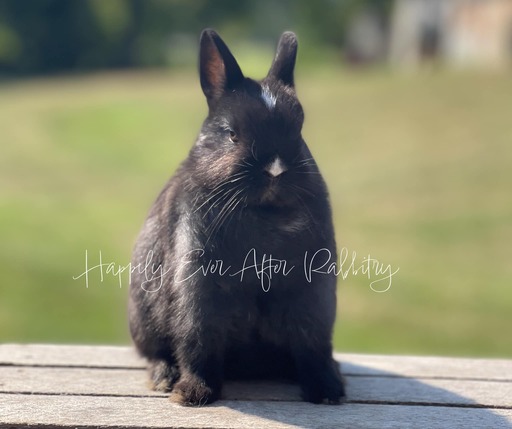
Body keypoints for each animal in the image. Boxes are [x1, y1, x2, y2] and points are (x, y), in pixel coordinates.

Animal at [127, 29, 344, 404]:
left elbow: (312, 342)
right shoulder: (197, 282)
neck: (262, 213)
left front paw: (326, 391)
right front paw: (193, 393)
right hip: (143, 317)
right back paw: (164, 377)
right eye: (232, 134)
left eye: (299, 130)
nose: (275, 169)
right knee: (154, 352)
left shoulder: (312, 288)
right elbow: (198, 336)